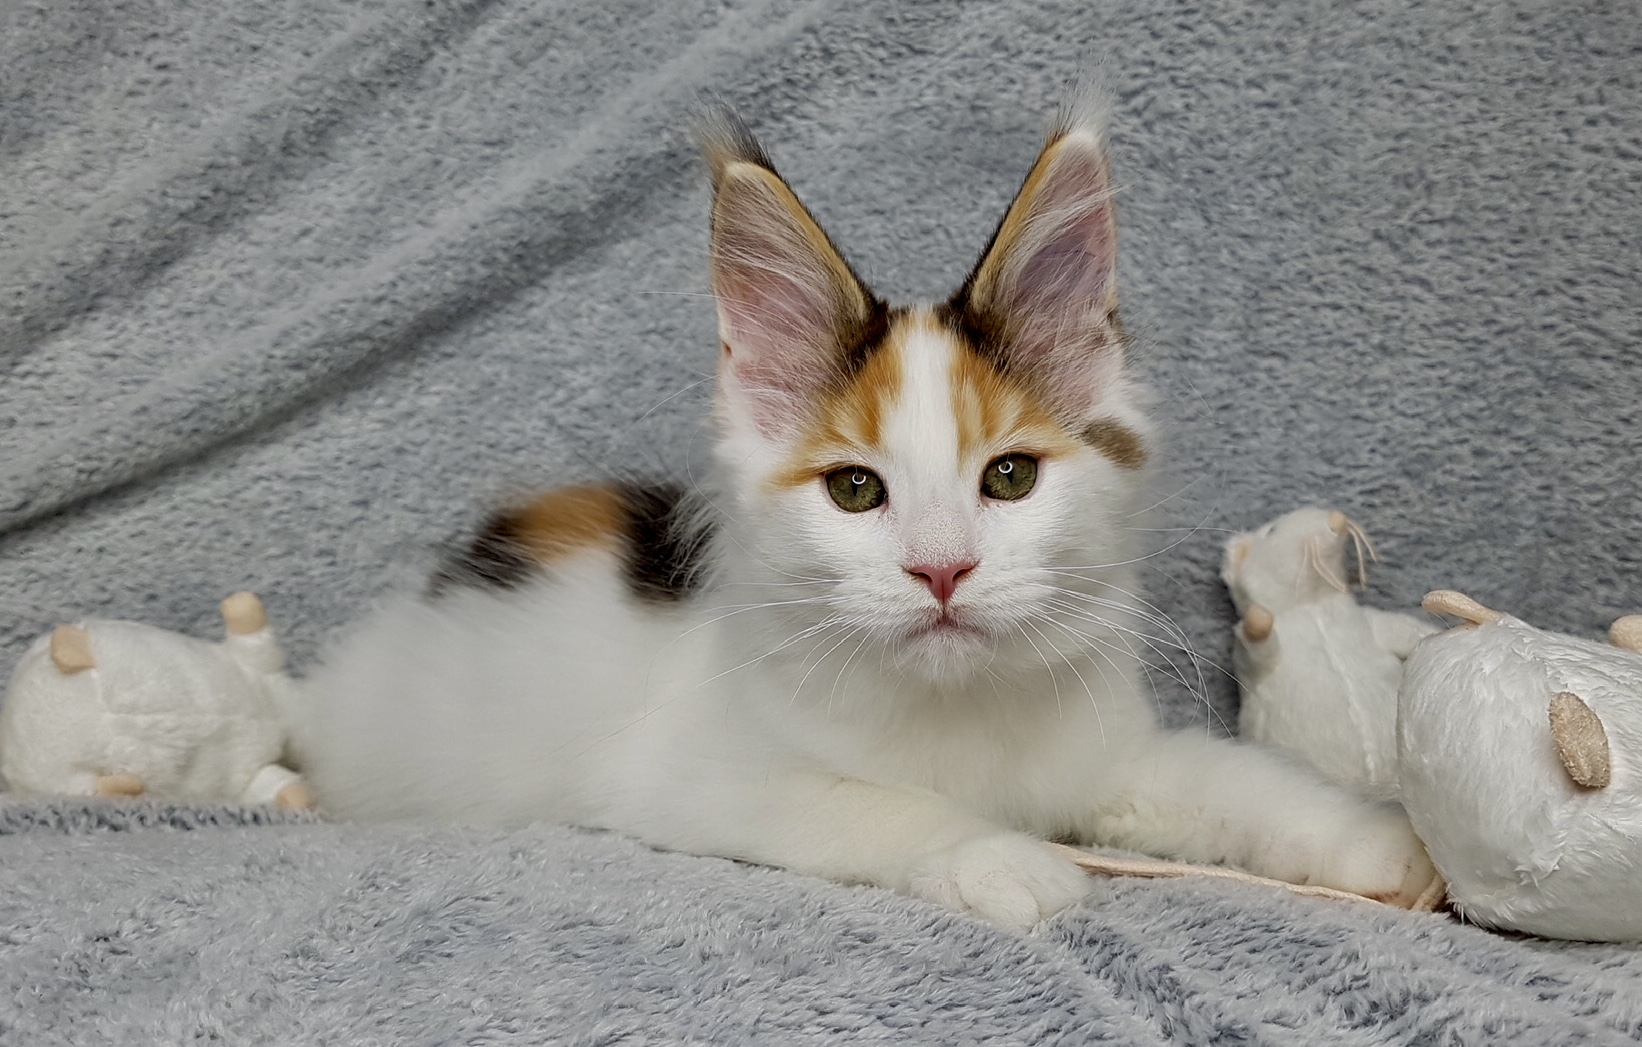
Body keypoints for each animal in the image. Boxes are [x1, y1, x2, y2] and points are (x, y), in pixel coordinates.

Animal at [302, 106, 1444, 932]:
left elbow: (1234, 780)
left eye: (1010, 477)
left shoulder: (1110, 760)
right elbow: (876, 804)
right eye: (855, 491)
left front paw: (1376, 843)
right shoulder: (696, 779)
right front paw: (1003, 856)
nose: (941, 571)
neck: (958, 707)